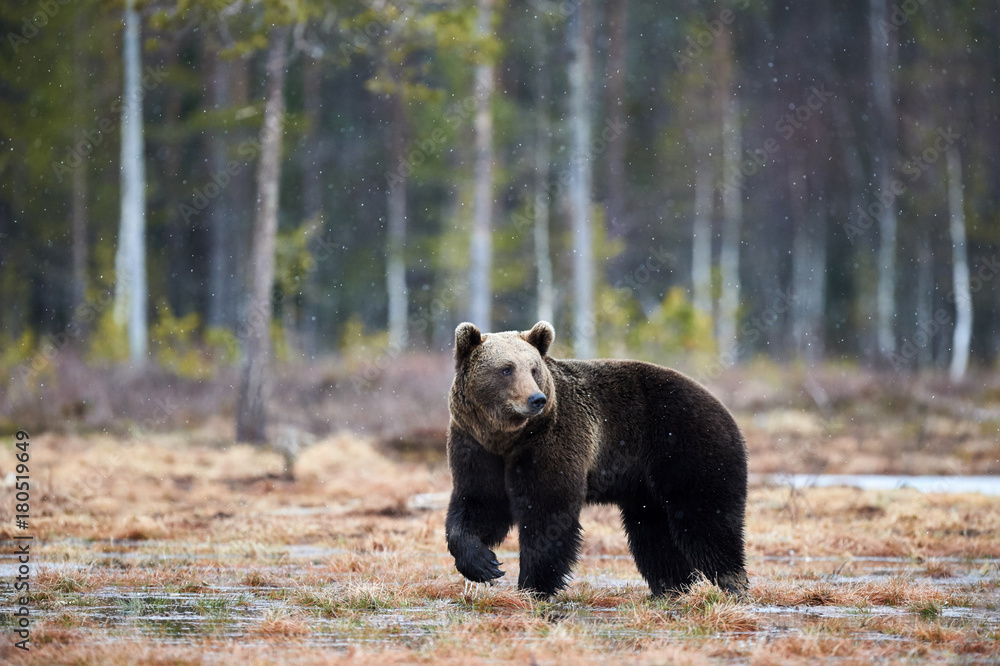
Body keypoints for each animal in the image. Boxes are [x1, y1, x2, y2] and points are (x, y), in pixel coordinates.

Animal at [448, 320, 752, 592]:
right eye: (506, 369)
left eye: (533, 369)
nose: (536, 399)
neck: (509, 438)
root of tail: (722, 407)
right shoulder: (475, 445)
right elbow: (479, 503)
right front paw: (483, 564)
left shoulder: (551, 441)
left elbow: (547, 510)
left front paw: (532, 585)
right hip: (645, 485)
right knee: (653, 532)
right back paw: (673, 585)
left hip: (687, 447)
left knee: (705, 518)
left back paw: (731, 582)